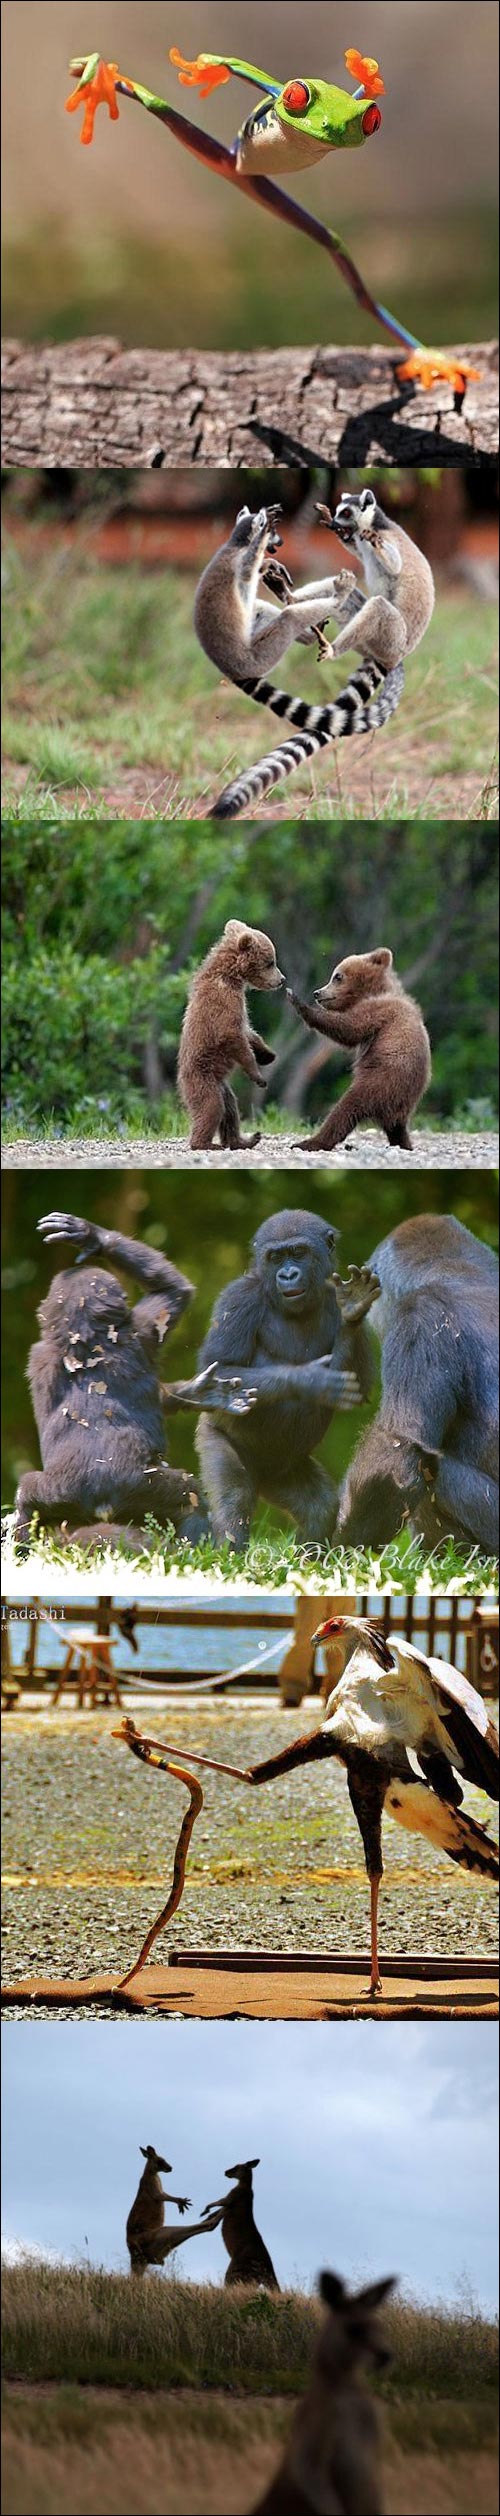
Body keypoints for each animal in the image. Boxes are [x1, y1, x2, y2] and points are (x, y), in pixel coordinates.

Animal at [177, 919, 286, 1151]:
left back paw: (245, 1139)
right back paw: (205, 1144)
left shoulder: (239, 1005)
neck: (231, 976)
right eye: (270, 962)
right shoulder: (224, 1002)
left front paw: (268, 1054)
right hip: (202, 1078)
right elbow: (231, 1035)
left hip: (222, 1086)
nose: (282, 979)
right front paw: (258, 1076)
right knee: (211, 1107)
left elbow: (248, 1031)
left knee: (230, 1110)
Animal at [195, 503, 406, 822]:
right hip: (259, 656)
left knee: (262, 610)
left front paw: (269, 566)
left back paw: (307, 629)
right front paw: (262, 544)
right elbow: (248, 566)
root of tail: (231, 671)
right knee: (288, 619)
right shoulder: (238, 563)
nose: (280, 543)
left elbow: (256, 570)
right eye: (275, 534)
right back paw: (331, 602)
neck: (235, 543)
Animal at [195, 1210, 379, 1551]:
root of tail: (264, 1477)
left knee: (320, 1508)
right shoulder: (239, 1298)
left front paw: (353, 1310)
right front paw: (308, 1380)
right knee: (234, 1498)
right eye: (276, 1257)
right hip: (214, 1436)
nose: (288, 1274)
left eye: (298, 1253)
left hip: (283, 1473)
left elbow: (358, 1383)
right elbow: (218, 1370)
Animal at [288, 947, 431, 1153]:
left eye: (337, 976)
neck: (373, 991)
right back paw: (404, 1144)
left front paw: (297, 1000)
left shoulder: (379, 1011)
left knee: (345, 1109)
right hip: (400, 1101)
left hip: (379, 1082)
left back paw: (309, 1142)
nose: (317, 993)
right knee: (396, 1128)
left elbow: (349, 1029)